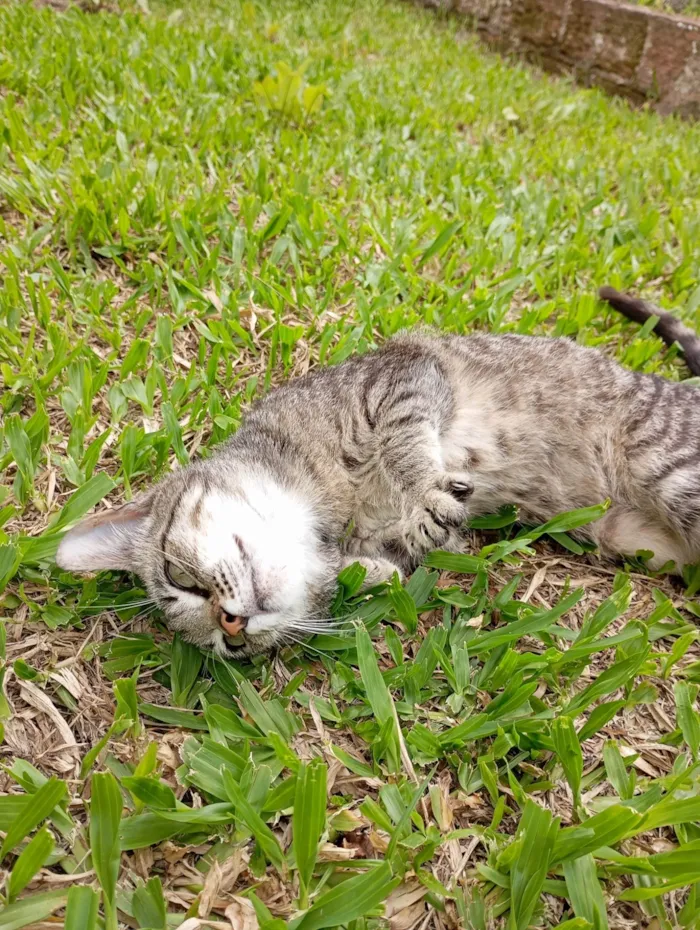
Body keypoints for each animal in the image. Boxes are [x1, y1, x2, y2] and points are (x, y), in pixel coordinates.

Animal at [57, 286, 700, 656]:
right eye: (224, 650)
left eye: (180, 577)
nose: (233, 628)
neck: (325, 505)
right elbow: (400, 553)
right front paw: (380, 565)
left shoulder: (401, 376)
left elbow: (406, 445)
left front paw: (424, 491)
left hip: (668, 467)